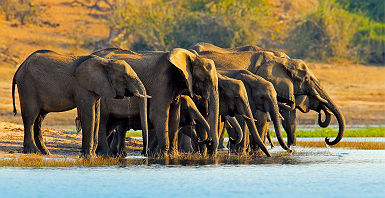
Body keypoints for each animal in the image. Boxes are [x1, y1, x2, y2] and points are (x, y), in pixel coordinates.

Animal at [12, 50, 149, 156]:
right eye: (124, 77)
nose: (144, 153)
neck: (105, 62)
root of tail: (19, 68)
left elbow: (96, 116)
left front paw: (92, 155)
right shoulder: (82, 87)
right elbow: (89, 115)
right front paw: (87, 156)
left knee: (39, 119)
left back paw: (46, 153)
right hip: (27, 86)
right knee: (30, 116)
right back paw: (32, 152)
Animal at [91, 47, 220, 155]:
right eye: (205, 80)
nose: (207, 141)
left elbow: (174, 116)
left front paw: (172, 155)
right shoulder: (161, 82)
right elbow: (159, 114)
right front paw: (162, 155)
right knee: (102, 121)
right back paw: (105, 154)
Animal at [190, 43, 344, 148]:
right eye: (306, 78)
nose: (327, 139)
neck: (281, 60)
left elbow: (288, 119)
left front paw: (292, 148)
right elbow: (261, 116)